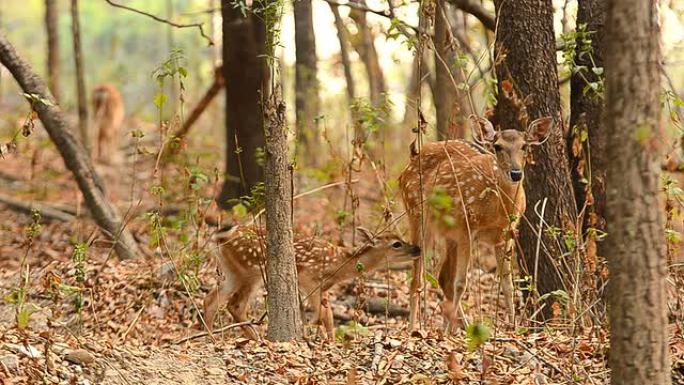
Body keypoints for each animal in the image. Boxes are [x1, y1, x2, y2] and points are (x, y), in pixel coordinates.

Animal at [200, 224, 420, 338]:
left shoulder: (322, 288)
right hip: (251, 270)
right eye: (396, 244)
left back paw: (211, 337)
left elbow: (328, 316)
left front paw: (329, 341)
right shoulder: (310, 280)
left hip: (232, 271)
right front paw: (312, 336)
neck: (338, 264)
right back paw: (255, 338)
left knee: (211, 299)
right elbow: (321, 315)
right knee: (235, 304)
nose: (417, 248)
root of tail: (221, 236)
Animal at [398, 114, 552, 328]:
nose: (515, 173)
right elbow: (461, 283)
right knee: (417, 280)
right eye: (497, 146)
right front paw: (448, 332)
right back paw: (414, 329)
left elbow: (507, 284)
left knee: (443, 278)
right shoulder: (467, 227)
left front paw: (513, 327)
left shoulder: (506, 233)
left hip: (449, 234)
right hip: (417, 215)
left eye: (525, 146)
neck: (497, 211)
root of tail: (411, 160)